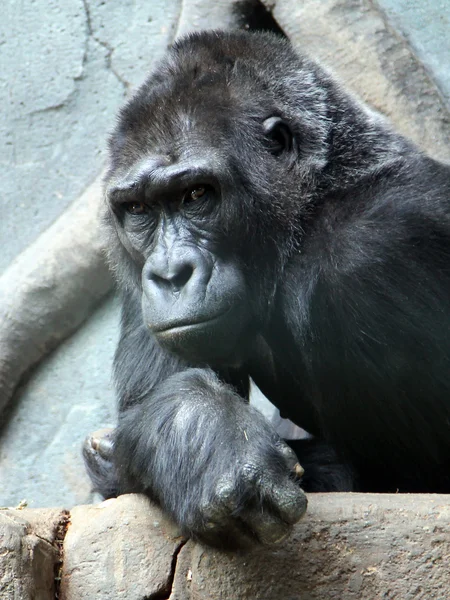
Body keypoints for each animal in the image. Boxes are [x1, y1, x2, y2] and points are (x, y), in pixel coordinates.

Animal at [84, 31, 450, 548]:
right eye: (138, 209)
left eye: (197, 195)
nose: (171, 273)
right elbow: (149, 405)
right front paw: (203, 433)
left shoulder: (374, 247)